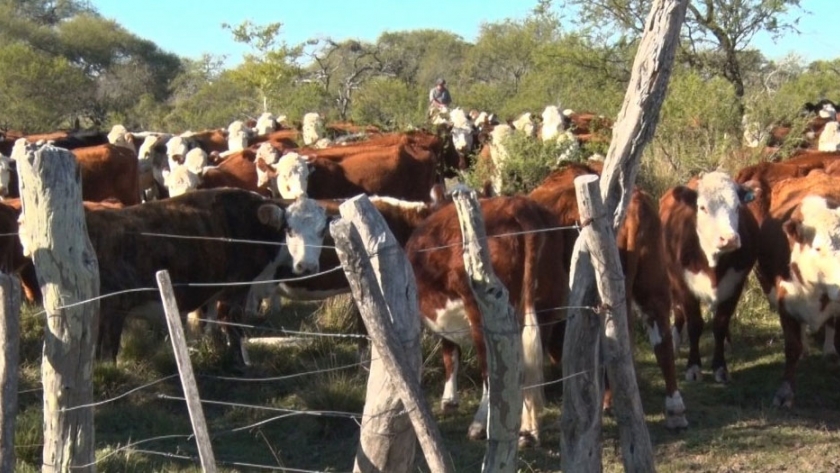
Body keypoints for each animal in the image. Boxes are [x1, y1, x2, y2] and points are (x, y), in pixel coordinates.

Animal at [404, 195, 568, 446]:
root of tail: (518, 204)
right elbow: (451, 353)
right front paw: (449, 400)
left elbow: (449, 352)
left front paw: (449, 400)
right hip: (546, 308)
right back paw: (528, 432)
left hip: (484, 316)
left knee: (492, 375)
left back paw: (481, 426)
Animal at [660, 171, 764, 382]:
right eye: (702, 207)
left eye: (738, 207)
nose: (729, 239)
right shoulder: (684, 285)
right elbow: (694, 324)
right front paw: (693, 367)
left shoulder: (735, 285)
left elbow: (720, 324)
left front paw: (720, 367)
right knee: (678, 311)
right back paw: (675, 343)